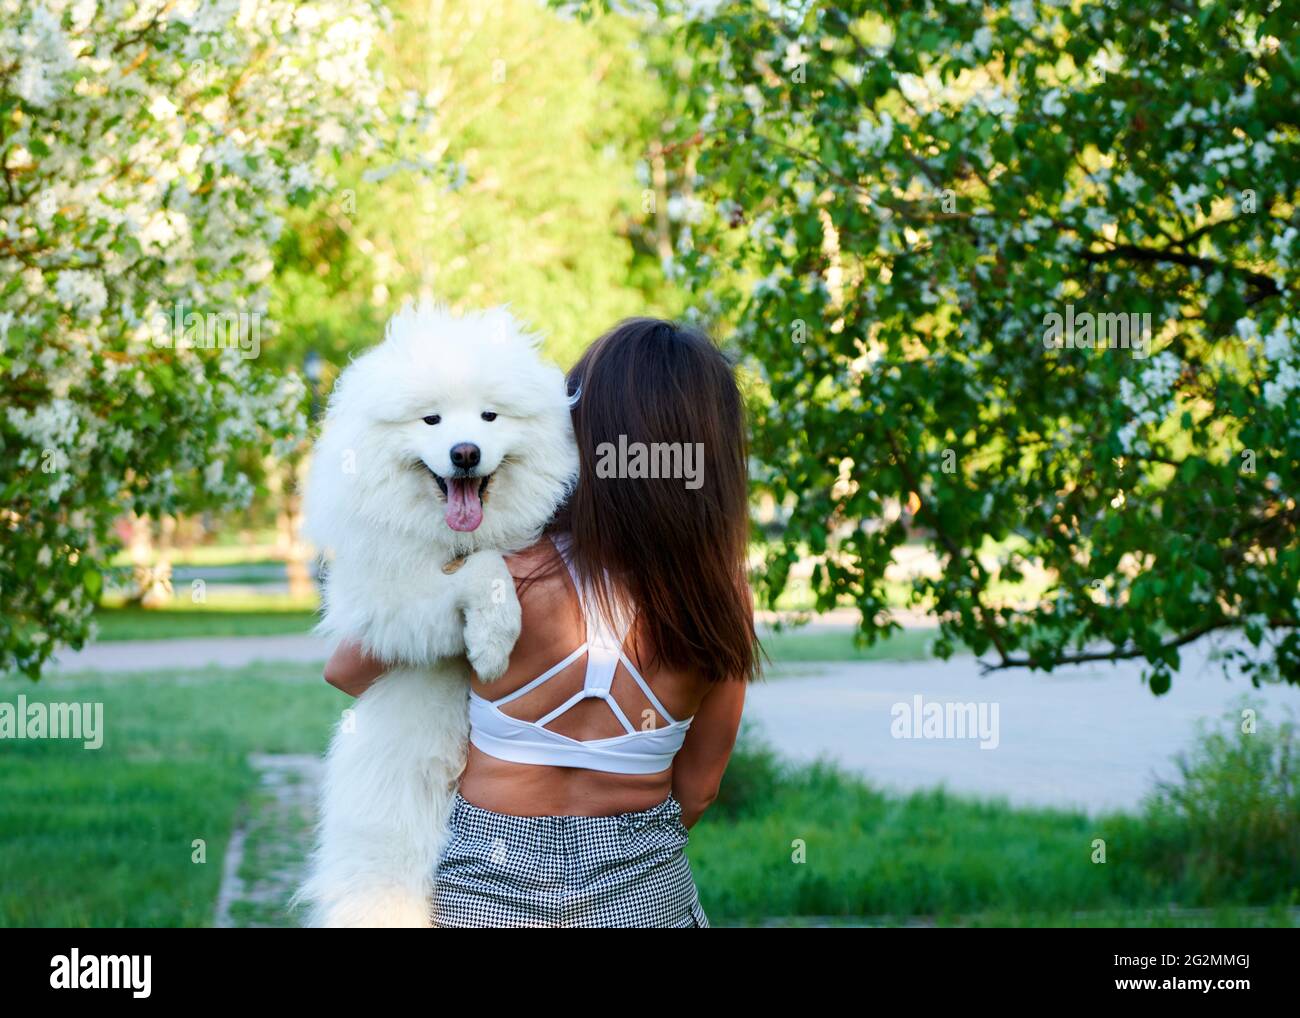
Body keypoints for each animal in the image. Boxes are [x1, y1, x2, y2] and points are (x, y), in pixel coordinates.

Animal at [299, 300, 579, 925]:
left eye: (489, 416)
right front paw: (492, 644)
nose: (465, 452)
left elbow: (487, 563)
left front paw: (490, 642)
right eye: (431, 421)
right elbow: (482, 570)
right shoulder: (382, 598)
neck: (451, 539)